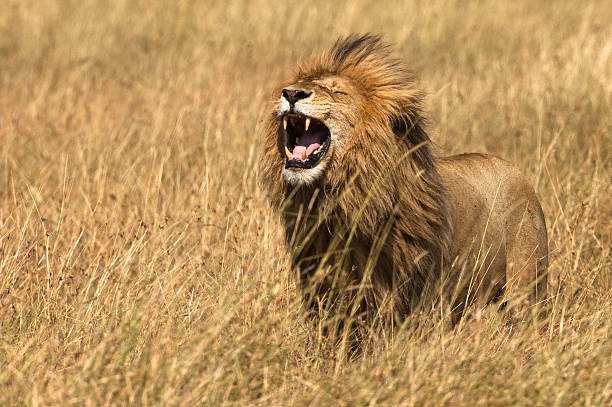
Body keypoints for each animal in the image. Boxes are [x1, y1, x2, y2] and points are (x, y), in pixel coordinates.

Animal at [256, 35, 544, 326]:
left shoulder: (416, 291)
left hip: (527, 286)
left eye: (338, 93)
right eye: (298, 85)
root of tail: (513, 168)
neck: (340, 200)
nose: (291, 93)